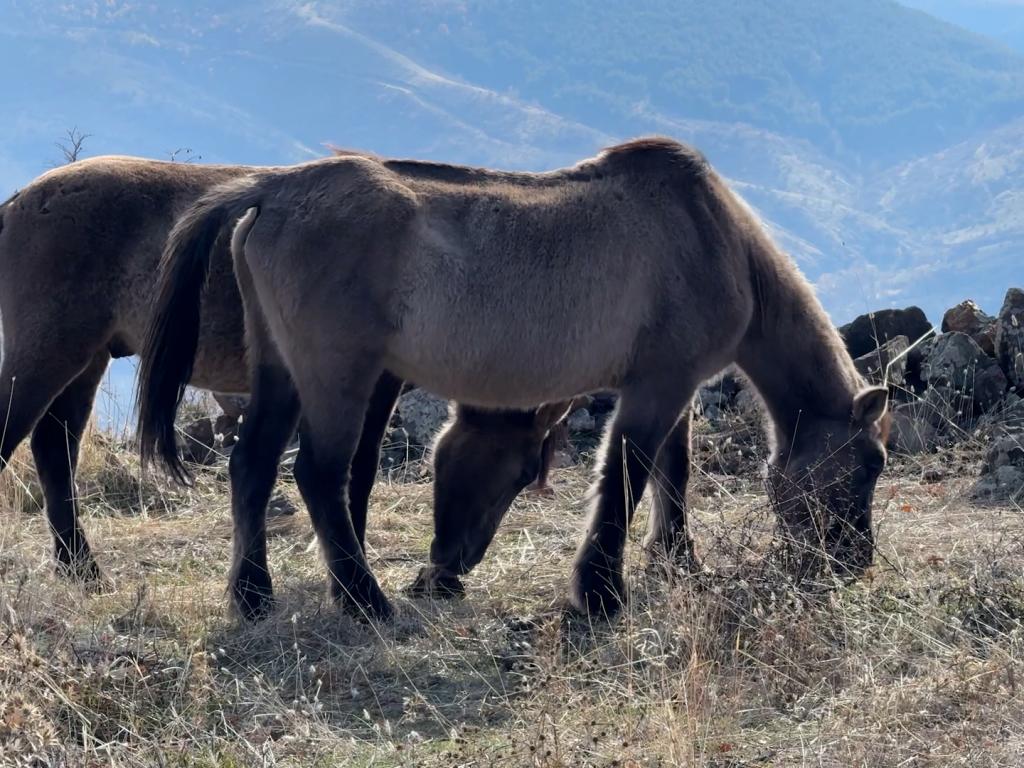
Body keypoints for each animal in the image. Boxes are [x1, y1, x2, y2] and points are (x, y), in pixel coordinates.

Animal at [0, 157, 593, 593]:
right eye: (522, 474)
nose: (456, 572)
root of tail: (20, 202)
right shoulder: (375, 381)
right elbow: (358, 468)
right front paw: (346, 564)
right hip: (49, 351)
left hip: (88, 358)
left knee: (54, 448)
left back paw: (83, 571)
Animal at [140, 138, 892, 626]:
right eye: (870, 465)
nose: (854, 560)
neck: (711, 235)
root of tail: (273, 188)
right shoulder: (659, 384)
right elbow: (628, 473)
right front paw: (600, 593)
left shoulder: (670, 386)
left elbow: (671, 471)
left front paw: (676, 560)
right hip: (337, 375)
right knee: (319, 475)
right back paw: (364, 601)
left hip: (282, 371)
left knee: (252, 466)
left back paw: (253, 597)